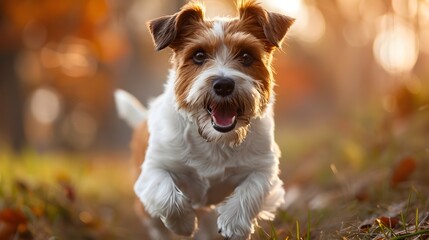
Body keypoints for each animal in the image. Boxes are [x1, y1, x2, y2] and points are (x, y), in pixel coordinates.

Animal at [115, 0, 292, 239]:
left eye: (246, 56)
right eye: (199, 56)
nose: (223, 84)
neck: (214, 140)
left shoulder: (264, 168)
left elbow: (251, 191)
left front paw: (234, 224)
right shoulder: (154, 169)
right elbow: (168, 196)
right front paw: (184, 223)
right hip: (145, 208)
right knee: (157, 224)